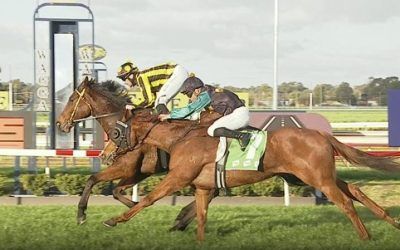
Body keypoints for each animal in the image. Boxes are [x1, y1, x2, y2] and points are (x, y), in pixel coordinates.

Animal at [55, 77, 219, 229]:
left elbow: (92, 179)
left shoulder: (125, 167)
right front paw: (134, 204)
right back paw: (182, 219)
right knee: (212, 192)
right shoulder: (140, 172)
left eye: (71, 99)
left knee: (211, 193)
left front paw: (81, 214)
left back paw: (182, 219)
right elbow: (116, 191)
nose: (59, 123)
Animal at [103, 110, 400, 242]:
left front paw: (114, 220)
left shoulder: (178, 178)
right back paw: (391, 222)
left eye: (116, 131)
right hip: (315, 176)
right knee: (355, 191)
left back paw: (365, 237)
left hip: (318, 179)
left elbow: (148, 199)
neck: (182, 139)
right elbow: (201, 216)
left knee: (346, 202)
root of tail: (321, 133)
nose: (107, 155)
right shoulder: (202, 187)